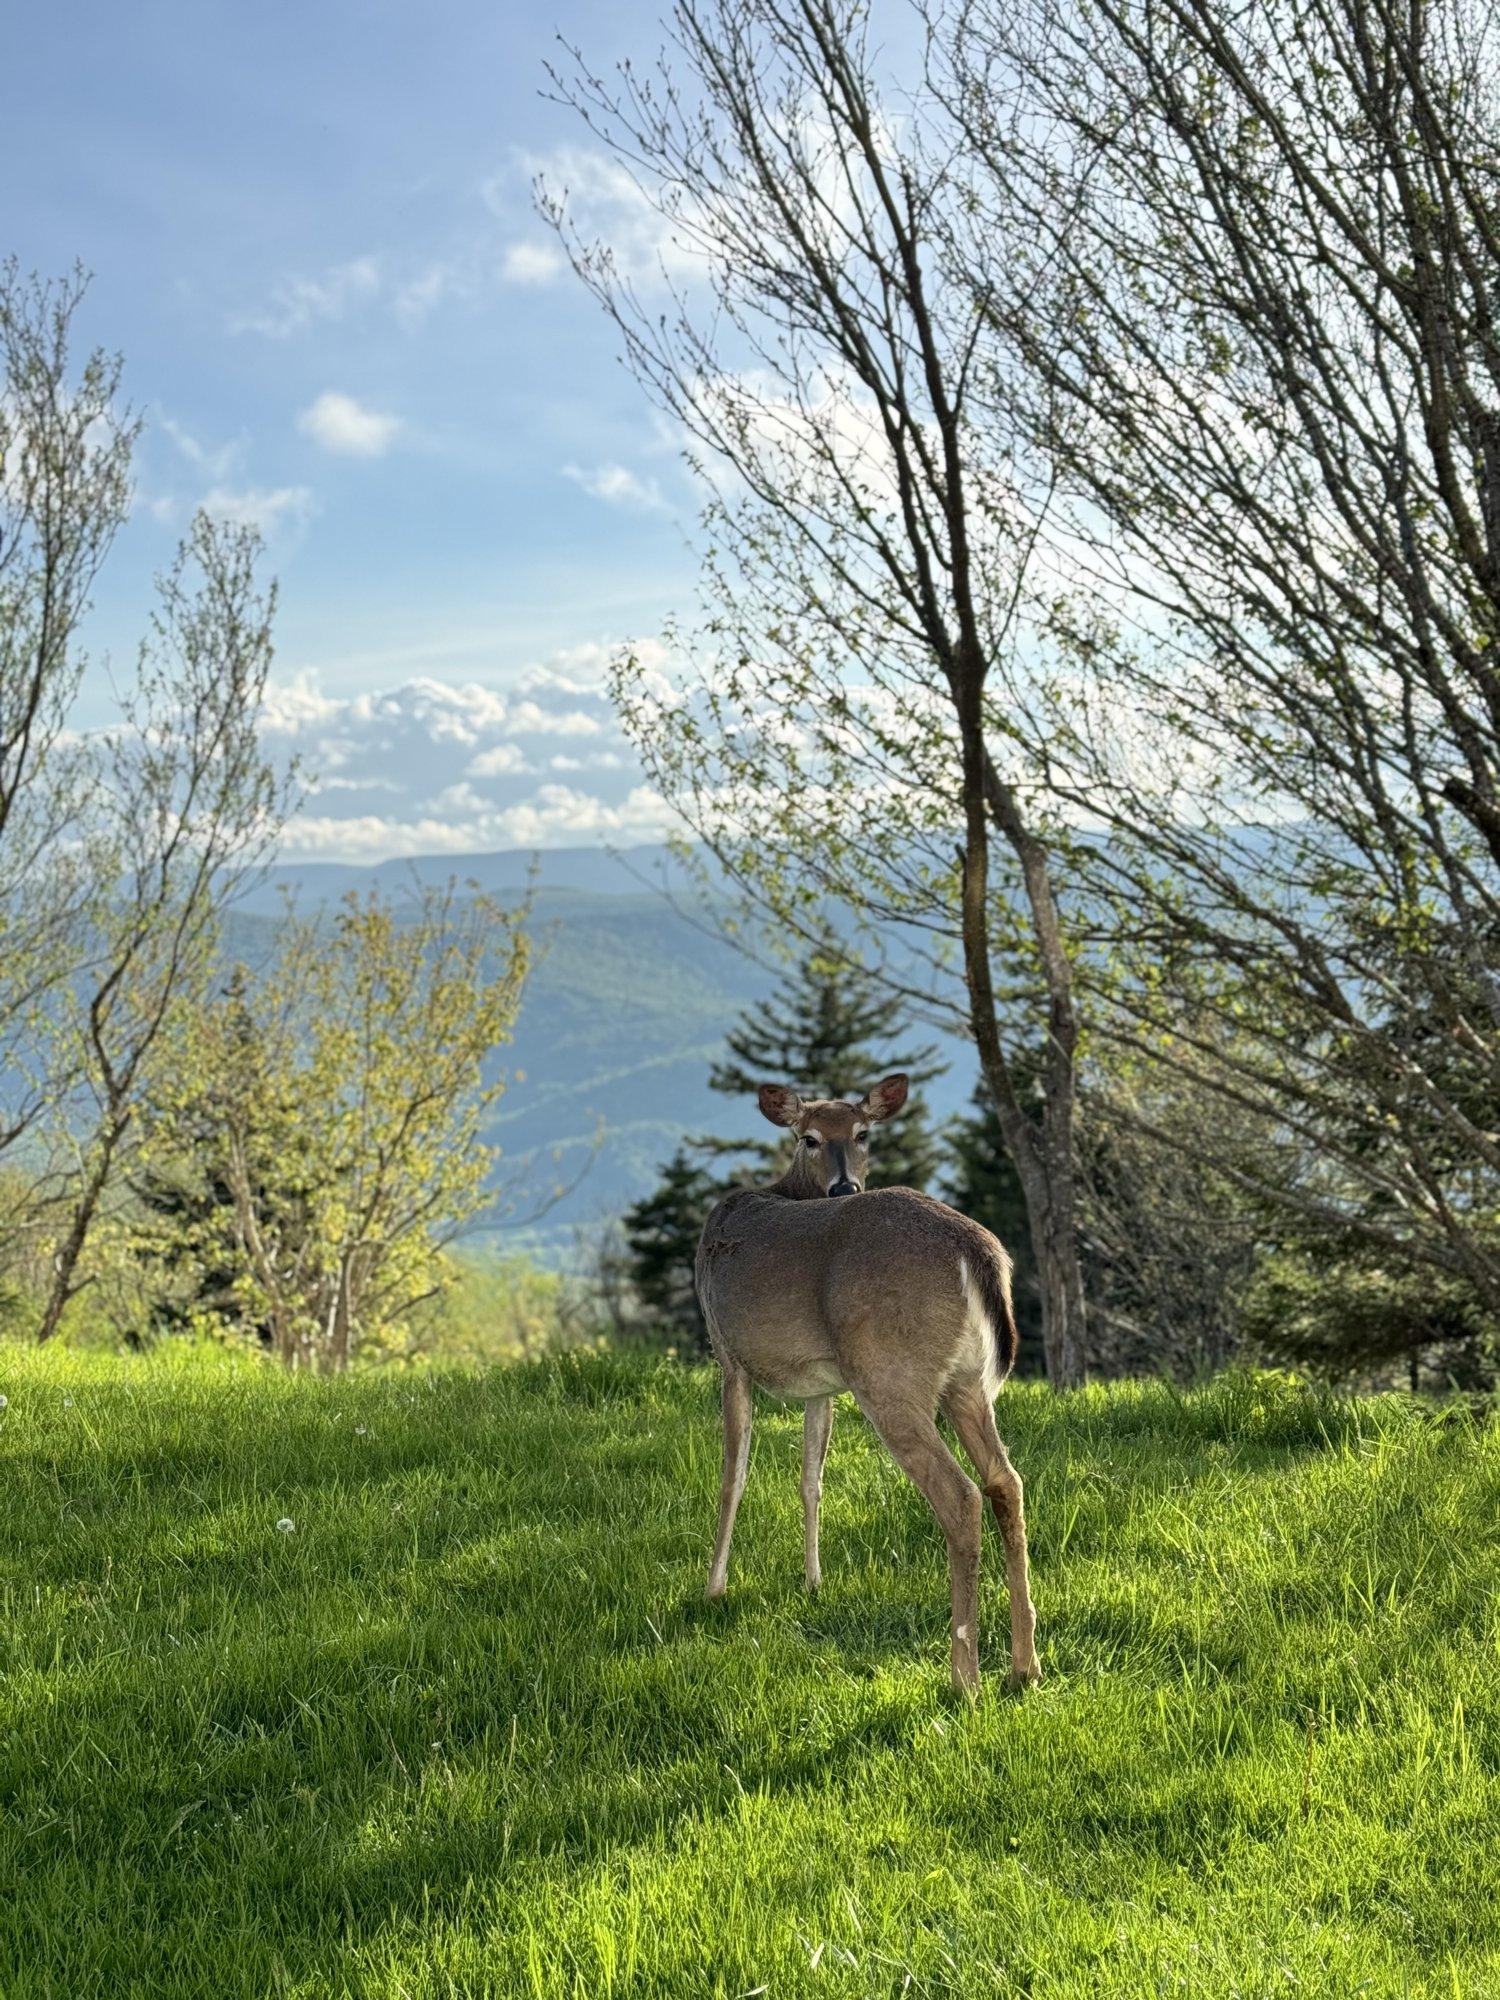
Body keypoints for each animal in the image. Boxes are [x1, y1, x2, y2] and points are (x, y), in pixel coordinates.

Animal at [694, 1071, 1040, 1693]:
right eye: (809, 1137)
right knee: (1006, 1481)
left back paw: (965, 1678)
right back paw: (1024, 1667)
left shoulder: (728, 1354)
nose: (843, 1185)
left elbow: (733, 1477)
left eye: (863, 1133)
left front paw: (714, 1588)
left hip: (888, 1372)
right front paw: (813, 1581)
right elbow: (811, 1478)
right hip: (967, 1383)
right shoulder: (822, 1384)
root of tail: (977, 1253)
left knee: (961, 1494)